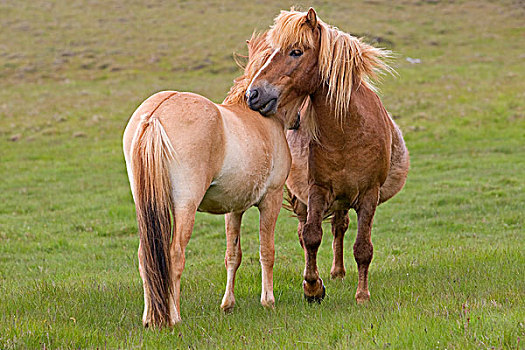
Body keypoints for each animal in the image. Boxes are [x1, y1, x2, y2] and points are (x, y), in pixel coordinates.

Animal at [123, 34, 302, 326]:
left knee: (144, 256)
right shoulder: (271, 200)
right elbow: (267, 251)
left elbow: (233, 255)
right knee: (174, 254)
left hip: (146, 205)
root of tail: (155, 115)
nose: (297, 121)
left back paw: (150, 318)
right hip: (185, 205)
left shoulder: (234, 209)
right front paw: (268, 301)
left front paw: (227, 304)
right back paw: (174, 317)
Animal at [246, 8, 410, 304]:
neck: (347, 132)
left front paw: (362, 295)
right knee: (307, 232)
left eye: (296, 51)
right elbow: (312, 236)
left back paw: (338, 272)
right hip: (302, 198)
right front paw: (312, 287)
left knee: (340, 227)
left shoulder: (369, 193)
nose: (253, 94)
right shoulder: (317, 190)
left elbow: (363, 247)